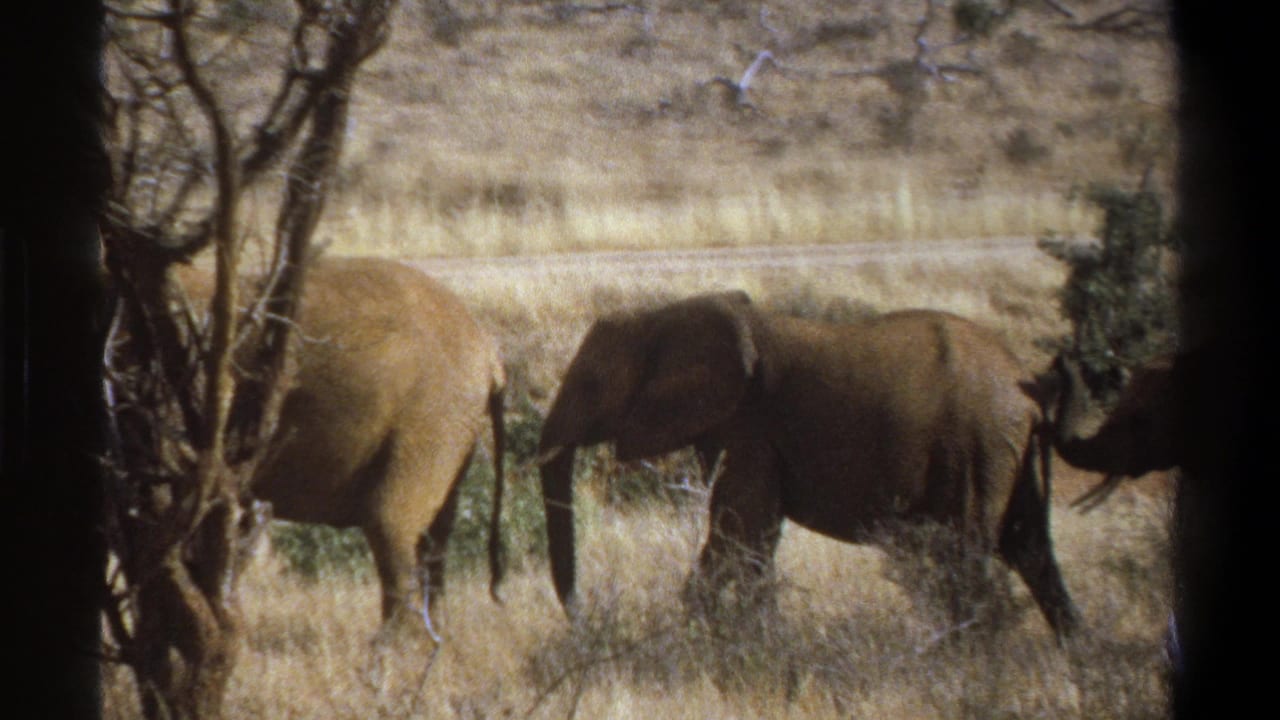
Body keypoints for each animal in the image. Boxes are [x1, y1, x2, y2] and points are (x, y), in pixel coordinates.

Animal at [175, 256, 506, 638]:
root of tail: (488, 350)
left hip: (431, 417)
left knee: (391, 522)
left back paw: (396, 647)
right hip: (450, 424)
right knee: (435, 533)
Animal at [537, 291, 1081, 642]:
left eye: (591, 385)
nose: (583, 621)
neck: (663, 315)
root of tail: (1030, 388)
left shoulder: (750, 425)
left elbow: (739, 531)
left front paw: (719, 639)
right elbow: (752, 537)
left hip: (976, 446)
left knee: (968, 552)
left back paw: (973, 657)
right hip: (1004, 451)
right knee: (1031, 548)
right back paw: (1074, 655)